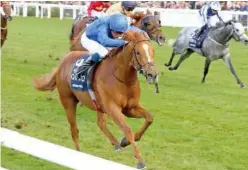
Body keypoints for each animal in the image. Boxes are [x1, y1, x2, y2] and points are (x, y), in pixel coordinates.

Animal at [33, 31, 158, 169]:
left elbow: (149, 118)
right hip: (68, 101)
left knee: (100, 123)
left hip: (98, 105)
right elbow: (127, 129)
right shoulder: (113, 108)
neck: (122, 78)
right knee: (74, 130)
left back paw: (116, 143)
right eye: (138, 53)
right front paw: (140, 160)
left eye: (152, 50)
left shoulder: (130, 108)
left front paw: (125, 141)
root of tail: (62, 62)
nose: (152, 75)